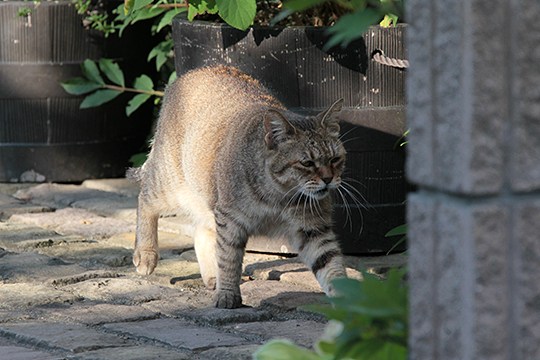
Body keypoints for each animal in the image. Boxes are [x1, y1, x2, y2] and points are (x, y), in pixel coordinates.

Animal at [131, 66, 346, 308]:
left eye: (335, 159)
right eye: (307, 163)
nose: (328, 178)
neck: (279, 197)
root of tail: (194, 71)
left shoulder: (314, 229)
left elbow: (331, 265)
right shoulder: (230, 220)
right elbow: (229, 260)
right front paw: (227, 294)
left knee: (200, 230)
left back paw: (211, 276)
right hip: (170, 184)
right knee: (145, 198)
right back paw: (146, 254)